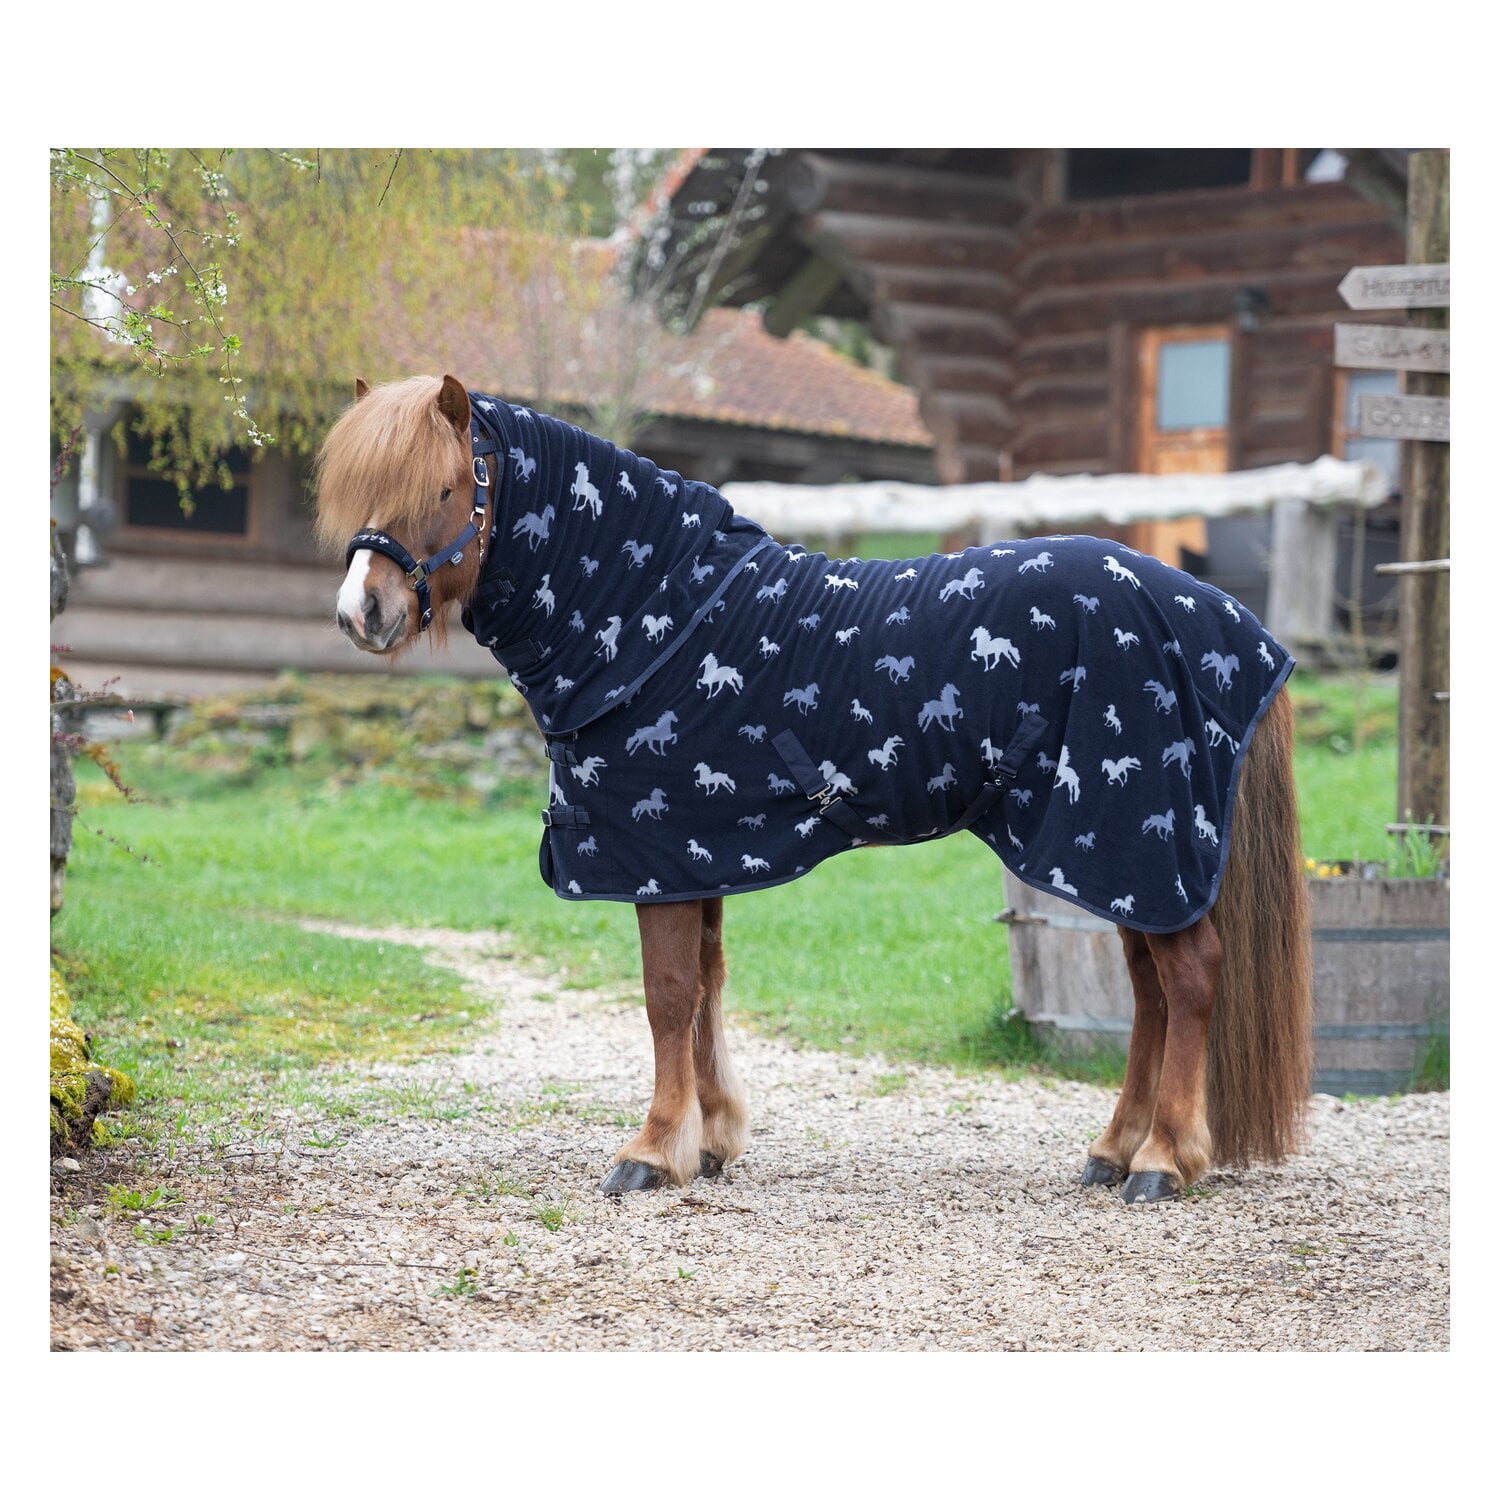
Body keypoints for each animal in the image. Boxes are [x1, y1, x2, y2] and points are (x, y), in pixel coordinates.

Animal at [315, 374, 1313, 1205]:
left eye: (443, 490)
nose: (362, 614)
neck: (658, 619)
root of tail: (1225, 619)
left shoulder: (655, 857)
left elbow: (667, 994)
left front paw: (651, 1153)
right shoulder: (695, 857)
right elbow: (707, 983)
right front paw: (712, 1141)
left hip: (1136, 841)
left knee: (1191, 980)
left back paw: (1163, 1160)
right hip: (1113, 857)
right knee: (1149, 992)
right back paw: (1113, 1151)